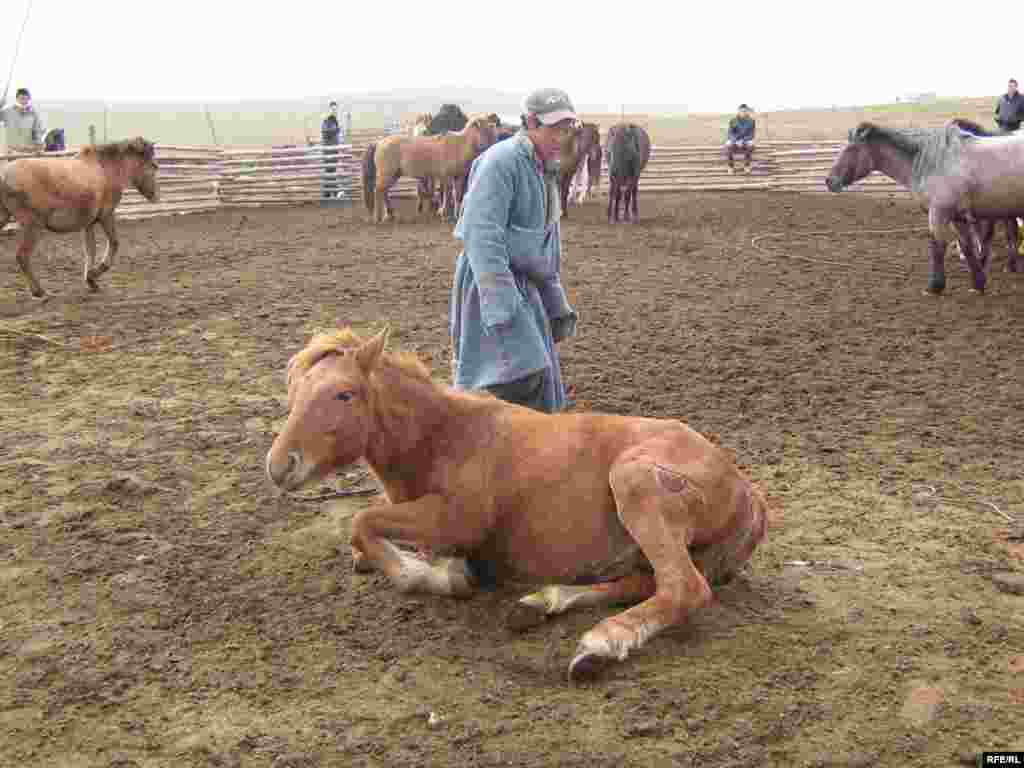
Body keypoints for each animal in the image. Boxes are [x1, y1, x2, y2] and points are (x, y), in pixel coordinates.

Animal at [1, 137, 158, 299]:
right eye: (154, 166)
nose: (155, 196)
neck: (107, 169)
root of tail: (4, 175)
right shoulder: (106, 215)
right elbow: (114, 243)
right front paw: (94, 274)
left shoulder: (89, 223)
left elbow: (90, 250)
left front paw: (91, 280)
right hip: (33, 226)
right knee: (22, 256)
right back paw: (38, 291)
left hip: (6, 218)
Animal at [264, 327, 770, 684]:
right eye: (294, 393)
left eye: (344, 393)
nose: (278, 465)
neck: (447, 437)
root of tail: (750, 495)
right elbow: (363, 536)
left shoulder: (457, 521)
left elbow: (364, 523)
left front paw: (435, 578)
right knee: (645, 582)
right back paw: (542, 602)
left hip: (636, 483)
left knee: (683, 587)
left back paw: (601, 643)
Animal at [362, 115, 497, 222]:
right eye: (486, 130)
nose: (494, 145)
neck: (459, 146)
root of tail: (379, 143)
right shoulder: (446, 177)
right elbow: (447, 194)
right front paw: (443, 213)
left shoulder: (458, 177)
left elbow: (457, 195)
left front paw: (457, 215)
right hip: (387, 174)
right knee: (378, 191)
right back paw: (378, 218)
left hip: (394, 174)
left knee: (384, 191)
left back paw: (390, 214)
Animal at [823, 121, 1024, 292]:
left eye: (852, 149)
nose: (829, 181)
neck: (933, 162)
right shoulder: (958, 218)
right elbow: (967, 247)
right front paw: (978, 283)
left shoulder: (938, 213)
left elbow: (937, 247)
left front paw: (935, 286)